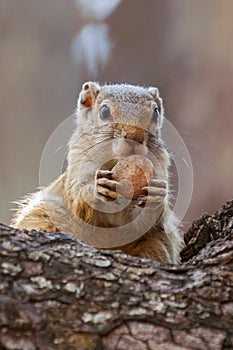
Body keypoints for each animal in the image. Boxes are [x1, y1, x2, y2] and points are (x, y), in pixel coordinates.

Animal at [10, 82, 184, 262]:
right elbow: (80, 206)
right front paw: (97, 189)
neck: (115, 160)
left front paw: (156, 195)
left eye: (156, 113)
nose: (135, 136)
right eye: (104, 111)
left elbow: (141, 224)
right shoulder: (77, 170)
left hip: (156, 245)